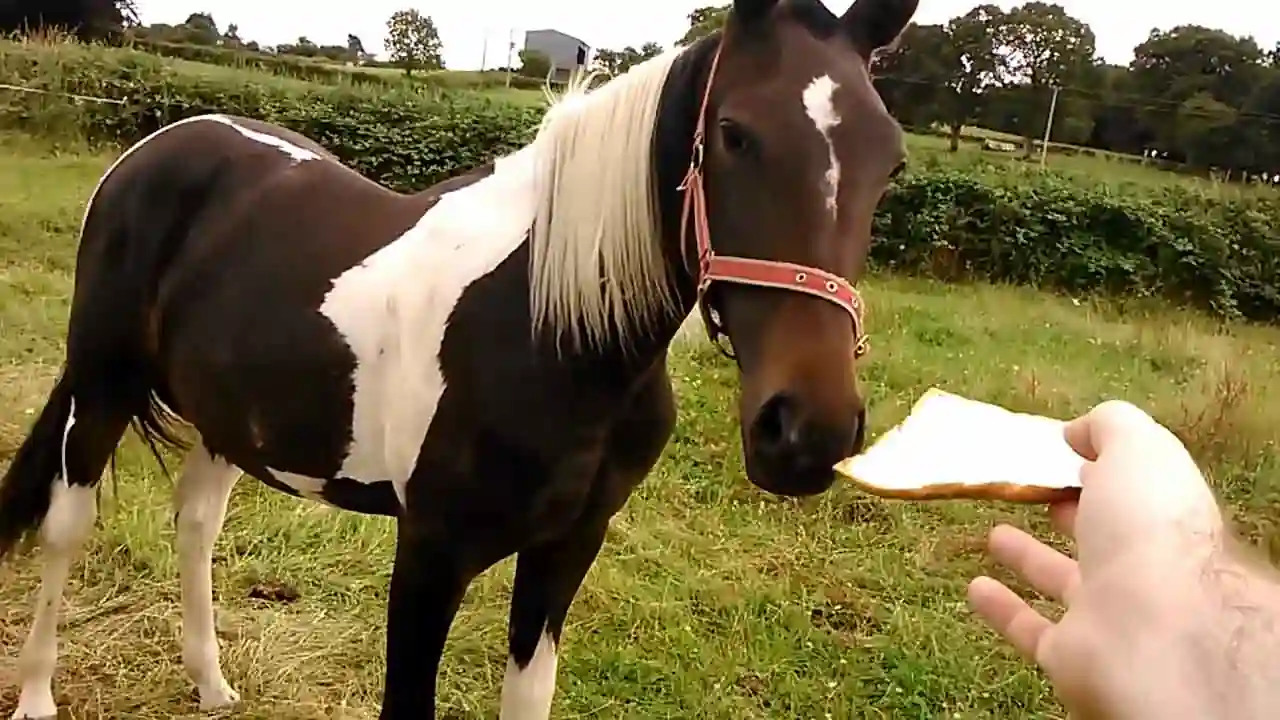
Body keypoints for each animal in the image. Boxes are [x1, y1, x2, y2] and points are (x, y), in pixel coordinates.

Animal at [0, 0, 915, 716]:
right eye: (734, 134)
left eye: (892, 160)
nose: (808, 432)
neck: (556, 329)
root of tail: (162, 145)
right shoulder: (431, 555)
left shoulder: (566, 550)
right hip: (102, 386)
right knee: (66, 524)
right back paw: (39, 695)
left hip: (231, 420)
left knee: (195, 523)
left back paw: (212, 684)